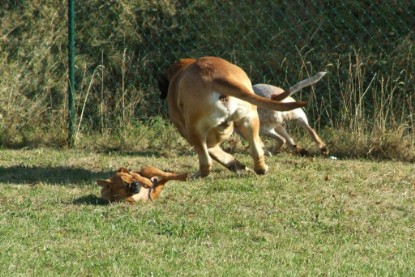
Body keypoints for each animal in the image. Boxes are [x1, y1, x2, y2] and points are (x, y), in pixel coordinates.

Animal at [158, 56, 308, 177]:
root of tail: (216, 77)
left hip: (195, 130)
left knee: (207, 162)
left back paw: (197, 175)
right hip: (250, 120)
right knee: (257, 150)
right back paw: (260, 168)